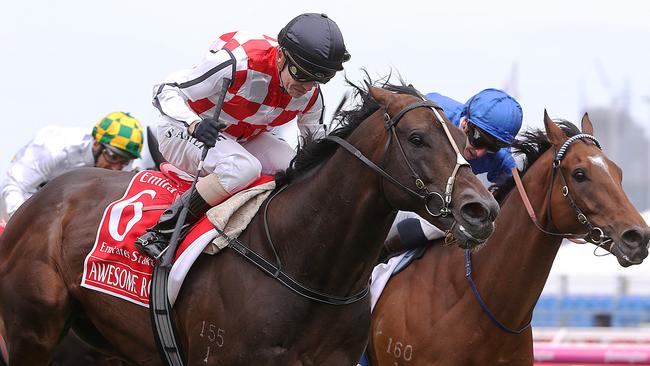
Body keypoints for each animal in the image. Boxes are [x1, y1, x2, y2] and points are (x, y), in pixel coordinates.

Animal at [0, 83, 498, 366]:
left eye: (464, 141)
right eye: (417, 139)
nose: (483, 211)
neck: (305, 268)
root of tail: (42, 200)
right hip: (32, 330)